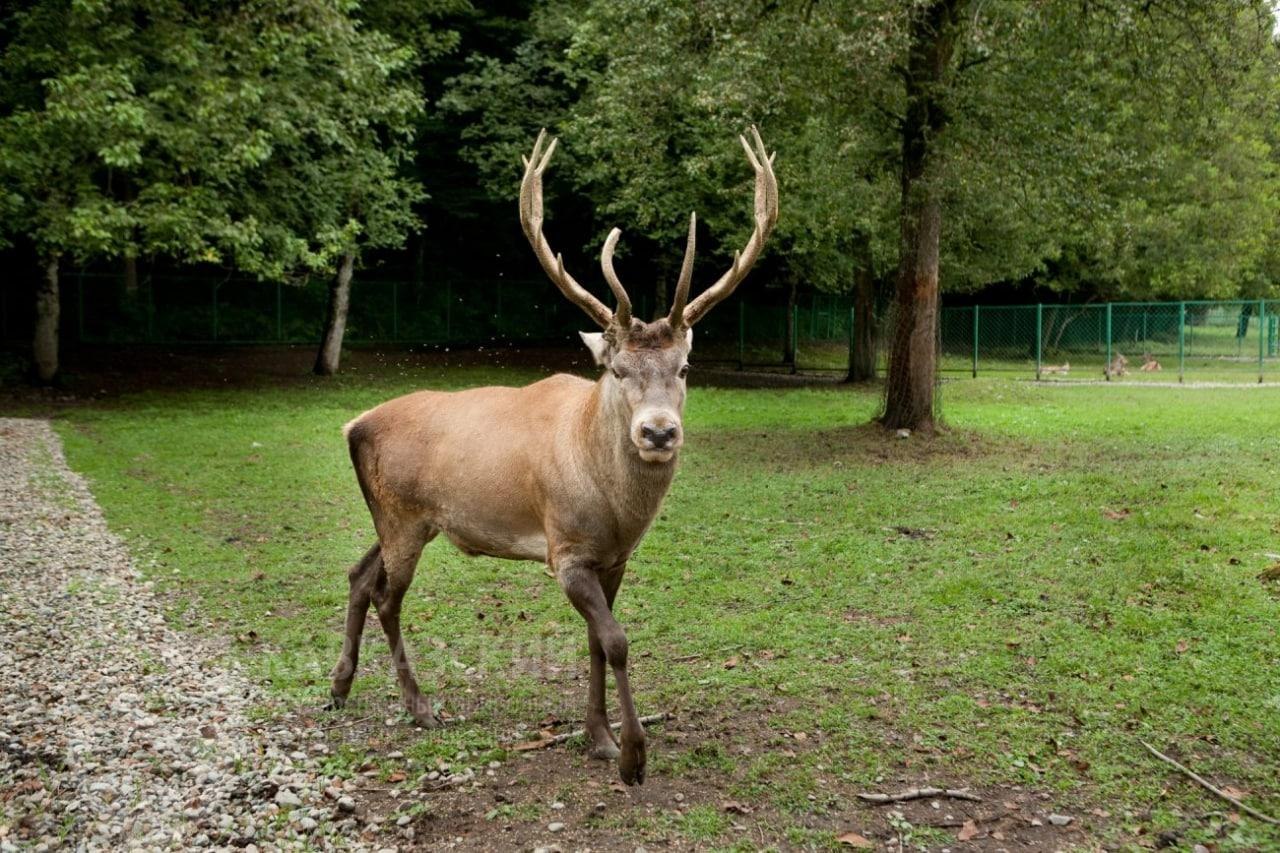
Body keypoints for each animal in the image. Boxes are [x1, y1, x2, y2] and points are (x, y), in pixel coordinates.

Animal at [325, 128, 773, 783]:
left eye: (685, 367)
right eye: (617, 369)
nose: (658, 432)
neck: (614, 511)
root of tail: (352, 425)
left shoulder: (614, 558)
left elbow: (596, 641)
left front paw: (598, 737)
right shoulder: (565, 549)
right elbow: (617, 640)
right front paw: (632, 754)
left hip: (400, 517)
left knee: (359, 575)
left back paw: (339, 687)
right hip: (402, 516)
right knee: (388, 596)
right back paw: (420, 707)